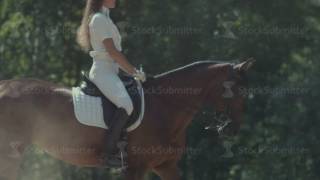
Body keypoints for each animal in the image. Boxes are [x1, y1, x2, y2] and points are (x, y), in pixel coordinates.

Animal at [0, 59, 255, 180]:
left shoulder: (166, 166)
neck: (166, 106)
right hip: (10, 155)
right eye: (237, 89)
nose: (232, 129)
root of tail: (5, 86)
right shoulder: (134, 167)